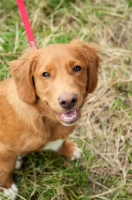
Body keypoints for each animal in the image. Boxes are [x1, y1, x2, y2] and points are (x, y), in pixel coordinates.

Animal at [0, 39, 99, 198]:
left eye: (77, 68)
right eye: (45, 74)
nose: (68, 101)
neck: (45, 117)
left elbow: (61, 141)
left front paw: (69, 150)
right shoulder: (4, 150)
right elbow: (5, 170)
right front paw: (7, 188)